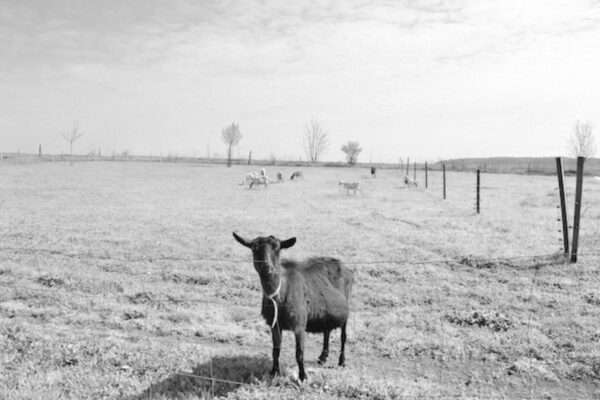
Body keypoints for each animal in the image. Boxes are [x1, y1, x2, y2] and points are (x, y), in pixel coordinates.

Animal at [230, 233, 352, 382]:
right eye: (254, 248)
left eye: (277, 248)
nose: (266, 267)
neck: (279, 295)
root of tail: (343, 266)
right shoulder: (275, 324)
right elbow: (276, 349)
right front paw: (274, 372)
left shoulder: (299, 324)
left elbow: (299, 352)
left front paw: (303, 376)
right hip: (326, 312)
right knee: (327, 330)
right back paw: (323, 357)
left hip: (346, 308)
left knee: (343, 336)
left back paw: (342, 361)